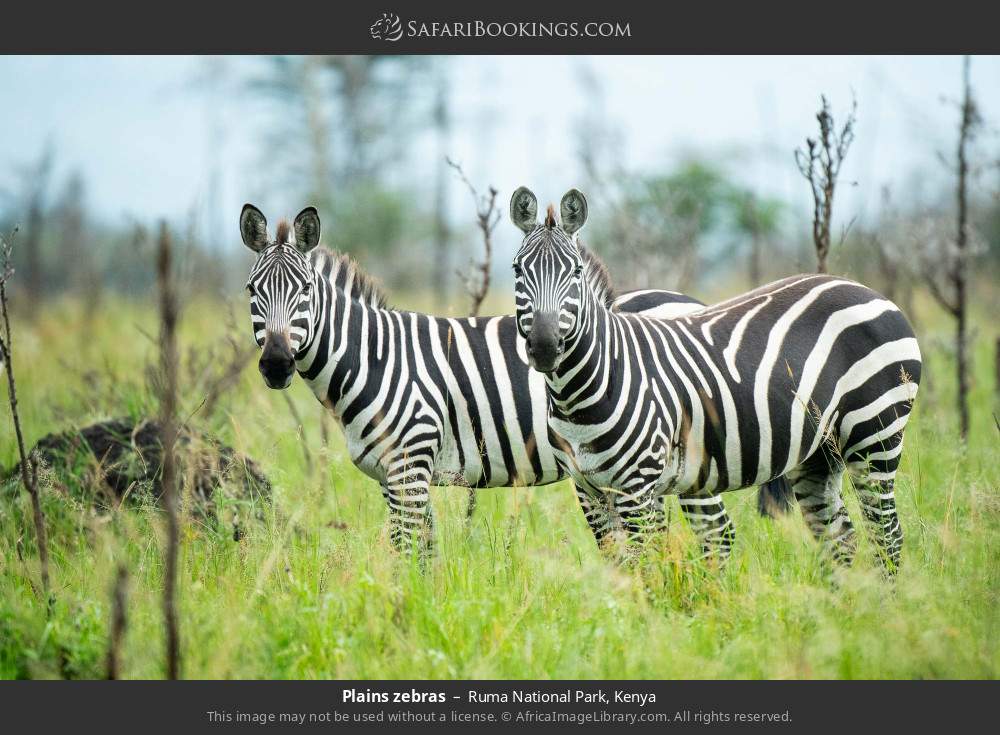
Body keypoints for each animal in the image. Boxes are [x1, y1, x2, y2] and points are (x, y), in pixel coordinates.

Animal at [240, 204, 752, 556]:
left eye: (305, 290)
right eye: (251, 290)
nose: (277, 364)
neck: (375, 358)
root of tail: (692, 301)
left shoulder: (410, 465)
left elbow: (410, 554)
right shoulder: (393, 475)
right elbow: (424, 554)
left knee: (718, 535)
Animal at [512, 188, 924, 568]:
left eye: (576, 272)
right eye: (517, 270)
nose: (545, 346)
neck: (580, 395)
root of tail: (866, 290)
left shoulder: (638, 485)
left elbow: (648, 565)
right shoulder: (589, 489)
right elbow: (622, 566)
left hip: (876, 435)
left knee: (887, 535)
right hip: (821, 451)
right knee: (840, 539)